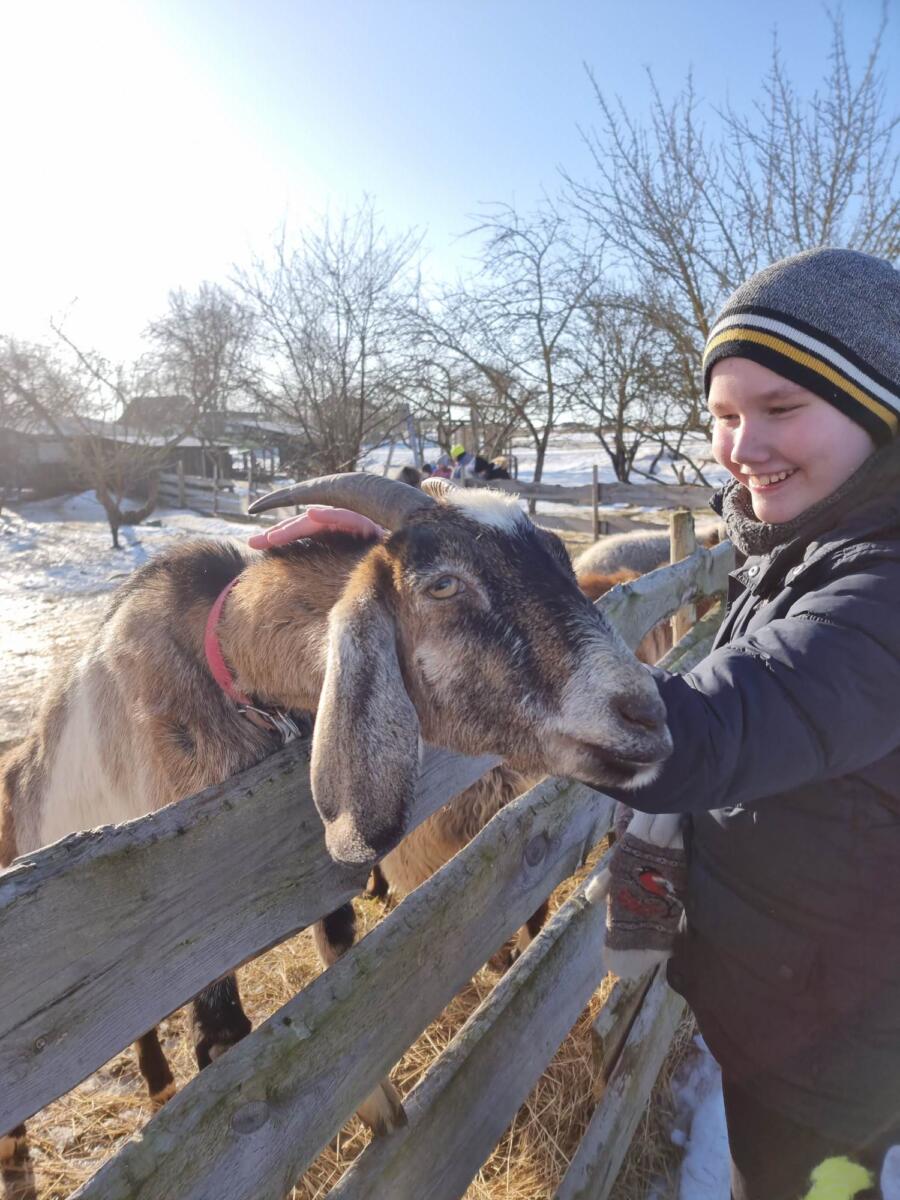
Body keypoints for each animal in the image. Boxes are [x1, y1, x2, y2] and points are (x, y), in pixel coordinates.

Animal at [0, 472, 671, 1199]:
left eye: (558, 558)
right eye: (443, 583)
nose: (646, 713)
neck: (227, 671)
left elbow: (344, 987)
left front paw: (385, 1119)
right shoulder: (189, 946)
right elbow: (223, 1042)